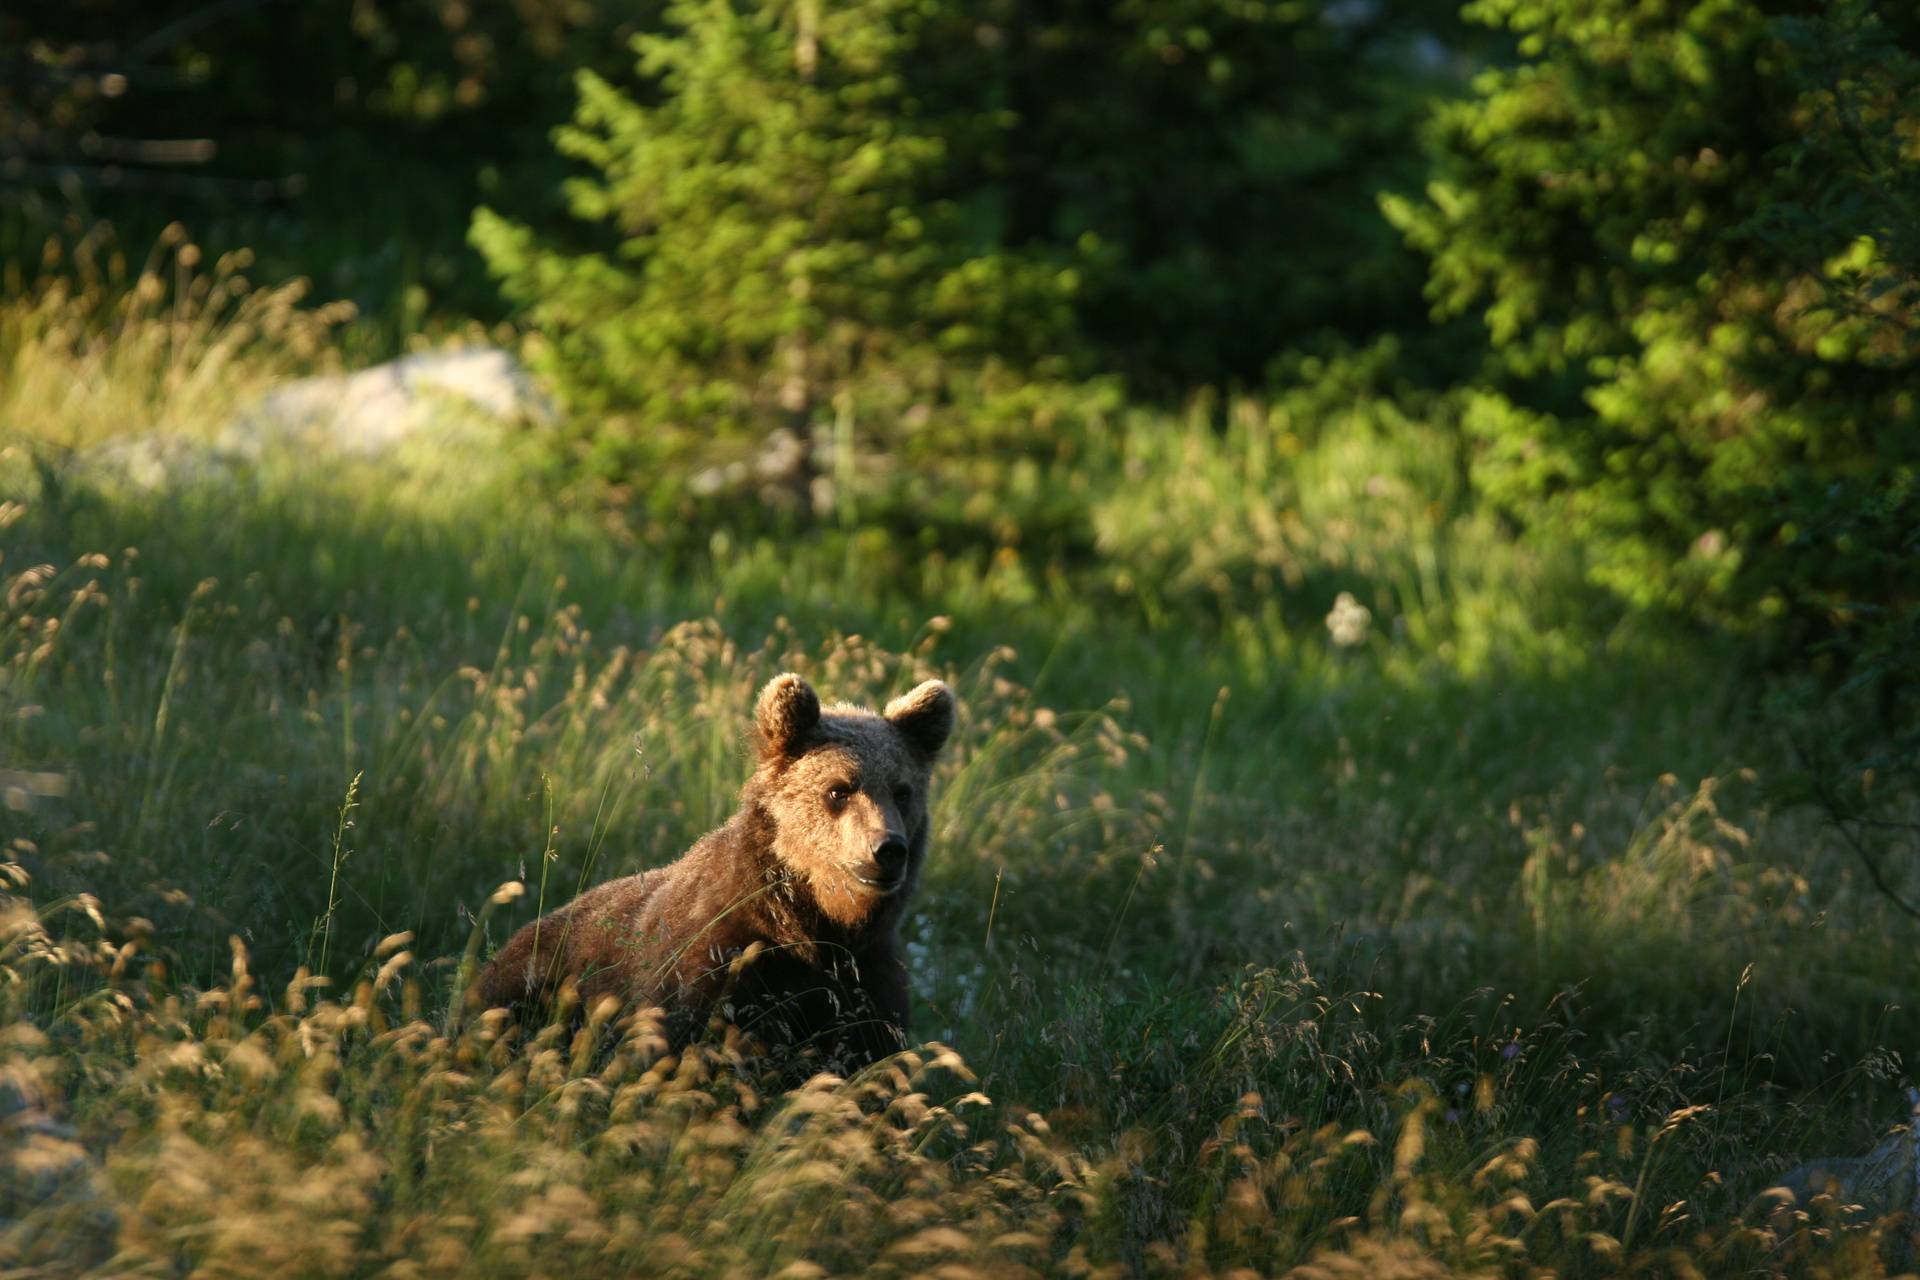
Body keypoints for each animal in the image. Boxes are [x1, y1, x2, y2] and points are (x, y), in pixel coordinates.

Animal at [472, 671, 952, 1074]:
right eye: (839, 789)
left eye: (902, 791)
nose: (888, 849)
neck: (809, 923)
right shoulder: (714, 964)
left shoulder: (865, 981)